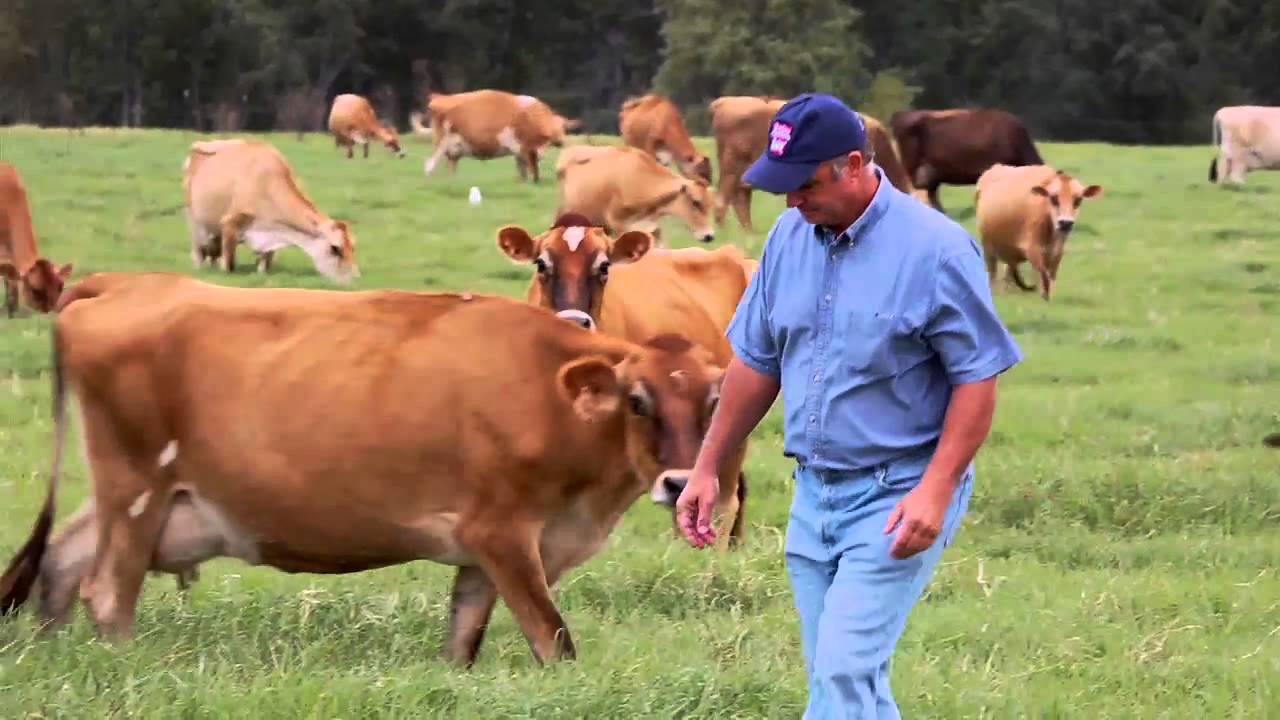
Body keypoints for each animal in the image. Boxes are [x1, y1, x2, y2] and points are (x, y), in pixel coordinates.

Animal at [0, 270, 729, 667]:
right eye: (637, 401)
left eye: (713, 403)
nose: (678, 483)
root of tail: (123, 282)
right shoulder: (503, 531)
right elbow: (554, 640)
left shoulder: (481, 554)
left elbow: (461, 642)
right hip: (134, 487)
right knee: (106, 592)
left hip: (140, 499)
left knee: (59, 567)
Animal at [182, 138, 359, 283]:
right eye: (335, 249)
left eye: (353, 247)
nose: (354, 278)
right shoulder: (230, 223)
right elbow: (228, 264)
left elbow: (265, 263)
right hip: (195, 221)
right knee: (199, 250)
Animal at [421, 90, 580, 183]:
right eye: (554, 130)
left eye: (563, 128)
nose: (560, 141)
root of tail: (440, 97)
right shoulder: (526, 148)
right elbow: (532, 168)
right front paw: (532, 182)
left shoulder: (523, 151)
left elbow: (523, 169)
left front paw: (522, 183)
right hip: (441, 143)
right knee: (429, 164)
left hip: (454, 149)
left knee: (451, 165)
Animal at [974, 163, 1103, 301]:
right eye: (1053, 198)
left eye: (1078, 200)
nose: (1065, 223)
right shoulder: (1032, 248)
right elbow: (1044, 274)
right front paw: (1042, 294)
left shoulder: (1058, 251)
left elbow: (1051, 275)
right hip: (988, 246)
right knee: (992, 271)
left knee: (1008, 270)